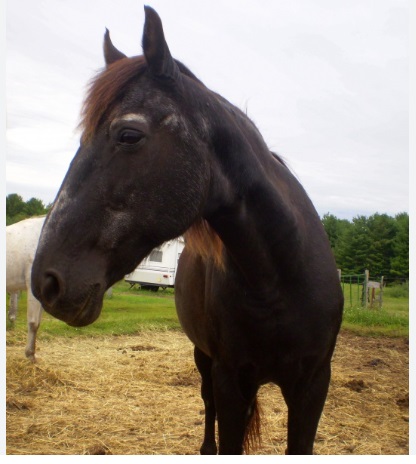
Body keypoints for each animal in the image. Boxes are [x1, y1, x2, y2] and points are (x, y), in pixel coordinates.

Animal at [32, 6, 342, 456]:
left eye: (129, 135)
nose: (46, 282)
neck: (279, 282)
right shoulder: (231, 379)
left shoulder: (313, 386)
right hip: (204, 359)